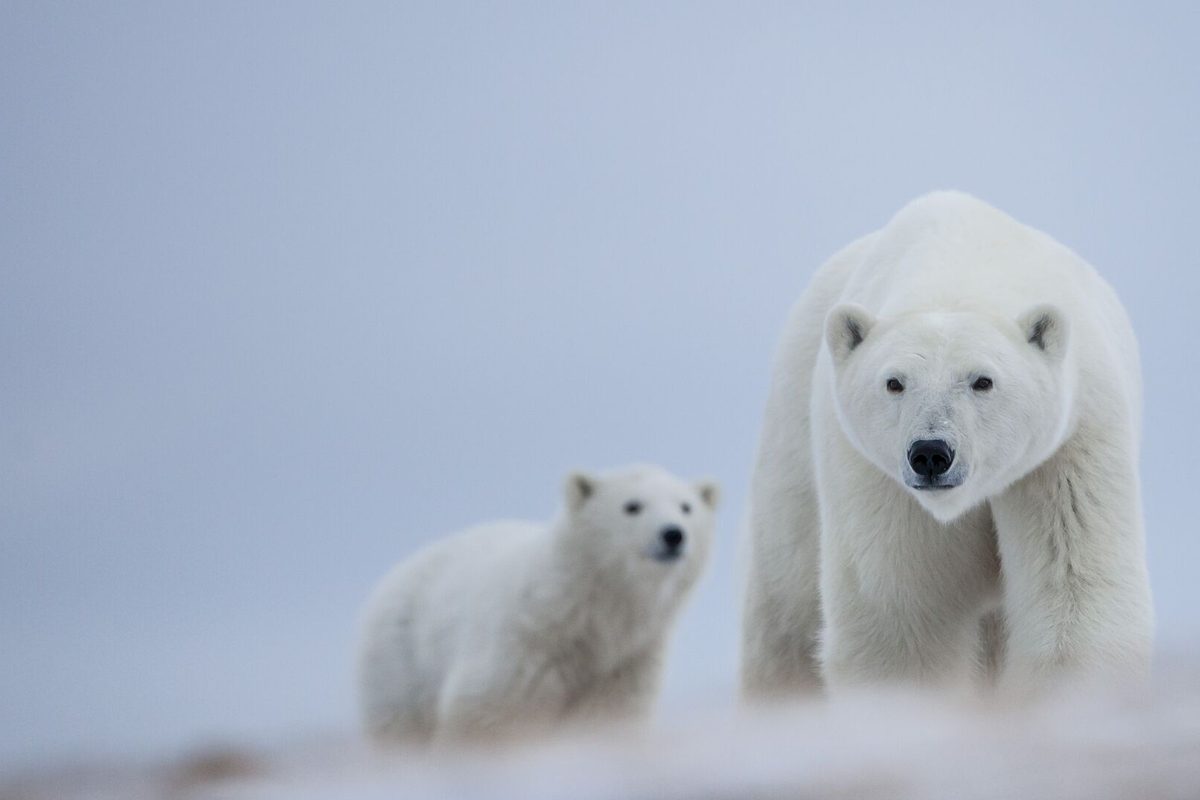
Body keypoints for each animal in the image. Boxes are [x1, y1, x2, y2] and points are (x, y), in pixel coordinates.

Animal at [358, 464, 719, 743]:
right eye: (632, 506)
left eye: (686, 507)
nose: (673, 534)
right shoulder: (522, 649)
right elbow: (486, 712)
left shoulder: (625, 663)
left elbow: (611, 716)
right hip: (402, 663)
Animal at [741, 191, 1153, 698]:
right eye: (894, 382)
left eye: (982, 380)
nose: (931, 454)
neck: (955, 268)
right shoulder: (875, 475)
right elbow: (902, 618)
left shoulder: (1069, 446)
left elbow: (1075, 588)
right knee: (787, 605)